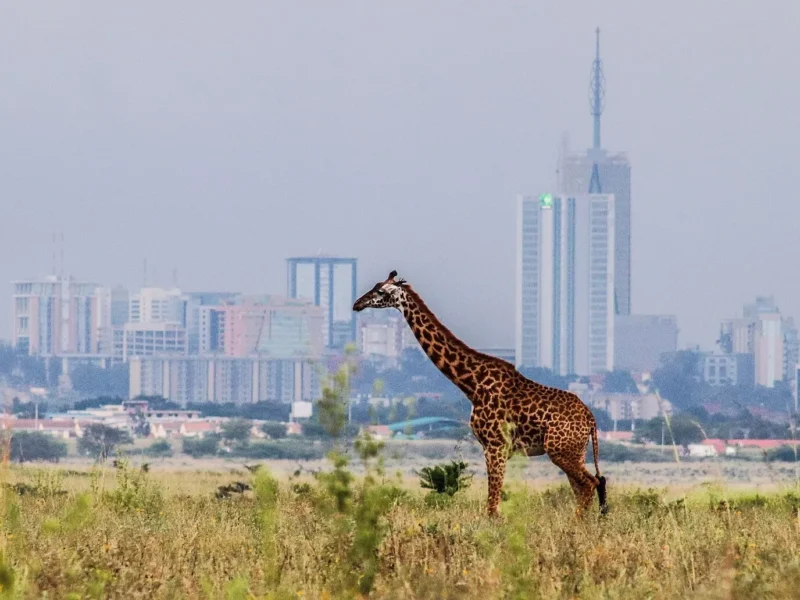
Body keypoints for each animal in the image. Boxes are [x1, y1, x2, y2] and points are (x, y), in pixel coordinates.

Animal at [353, 270, 608, 517]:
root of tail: (590, 419)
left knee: (590, 484)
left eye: (380, 291)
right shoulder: (491, 447)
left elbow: (492, 507)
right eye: (375, 286)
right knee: (586, 487)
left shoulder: (496, 445)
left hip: (561, 451)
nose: (357, 304)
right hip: (574, 452)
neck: (471, 384)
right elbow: (493, 505)